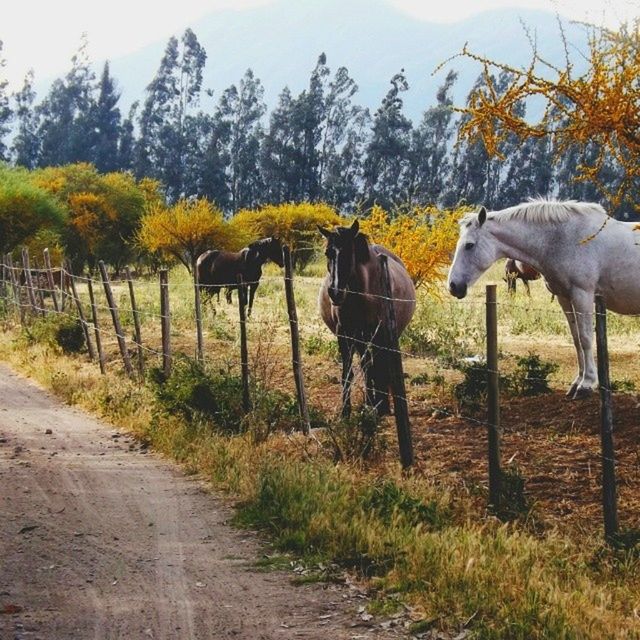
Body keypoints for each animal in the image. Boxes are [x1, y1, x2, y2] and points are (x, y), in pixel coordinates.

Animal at [316, 222, 416, 418]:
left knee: (377, 366)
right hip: (360, 338)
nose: (335, 292)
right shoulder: (345, 334)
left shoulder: (379, 334)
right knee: (366, 365)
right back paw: (369, 401)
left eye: (349, 251)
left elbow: (379, 368)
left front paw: (380, 406)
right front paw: (346, 411)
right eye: (327, 253)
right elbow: (349, 373)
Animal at [448, 200, 640, 400]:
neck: (564, 239)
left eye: (469, 245)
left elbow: (586, 338)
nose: (453, 285)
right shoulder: (565, 297)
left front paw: (587, 384)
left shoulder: (583, 295)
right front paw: (577, 381)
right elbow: (576, 339)